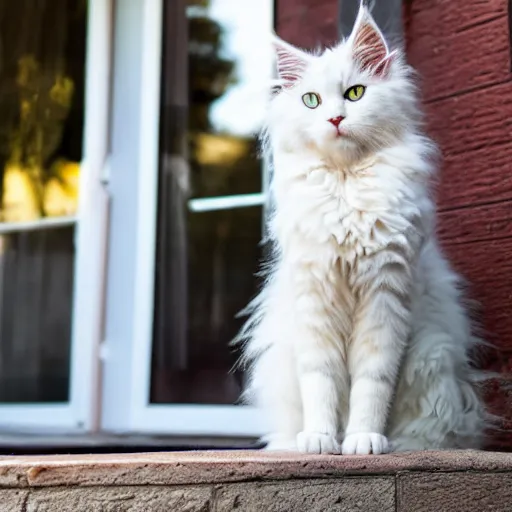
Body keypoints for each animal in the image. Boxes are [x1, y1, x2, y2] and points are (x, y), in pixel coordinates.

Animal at [236, 2, 488, 454]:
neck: (346, 186)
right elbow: (322, 380)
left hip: (432, 358)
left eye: (355, 93)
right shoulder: (317, 299)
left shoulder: (384, 297)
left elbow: (371, 383)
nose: (336, 118)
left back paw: (395, 443)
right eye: (311, 101)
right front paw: (321, 440)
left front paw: (362, 441)